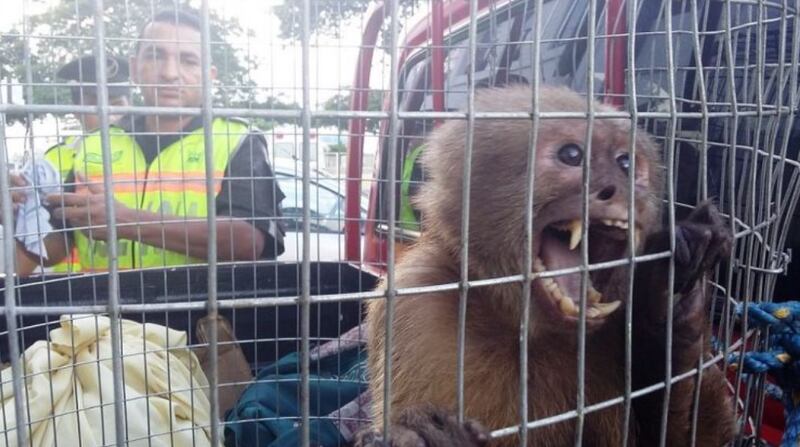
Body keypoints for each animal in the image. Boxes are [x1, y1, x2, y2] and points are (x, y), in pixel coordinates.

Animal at [356, 86, 736, 446]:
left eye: (626, 163)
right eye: (572, 155)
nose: (622, 189)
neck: (523, 329)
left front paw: (665, 303)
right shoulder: (417, 299)